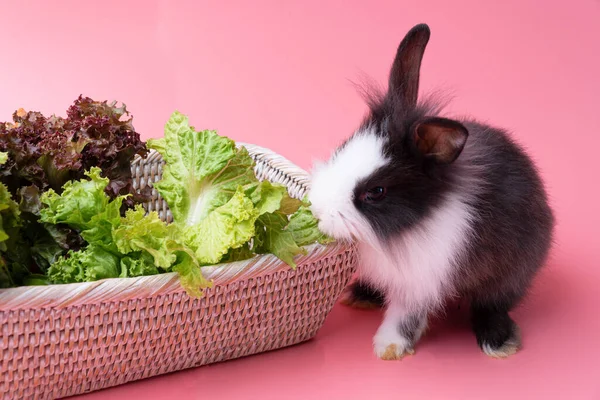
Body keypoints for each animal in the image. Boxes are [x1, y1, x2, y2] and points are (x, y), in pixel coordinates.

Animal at [308, 22, 556, 360]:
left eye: (377, 192)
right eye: (342, 148)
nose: (318, 211)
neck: (406, 228)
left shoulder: (421, 280)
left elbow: (405, 316)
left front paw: (388, 348)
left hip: (512, 273)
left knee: (493, 304)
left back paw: (498, 342)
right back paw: (360, 295)